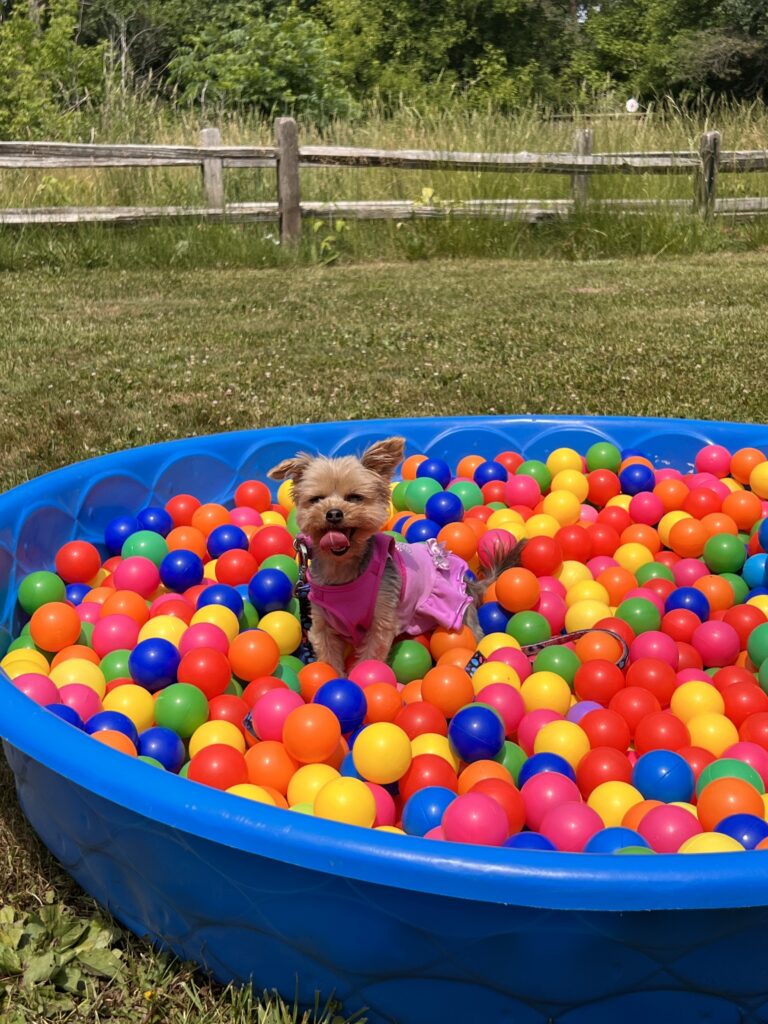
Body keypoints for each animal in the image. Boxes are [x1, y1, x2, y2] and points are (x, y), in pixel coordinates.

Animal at [268, 436, 524, 675]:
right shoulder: (322, 623)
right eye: (316, 499)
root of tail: (469, 582)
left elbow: (372, 653)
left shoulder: (381, 620)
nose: (333, 513)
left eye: (354, 497)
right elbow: (329, 655)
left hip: (458, 613)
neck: (342, 569)